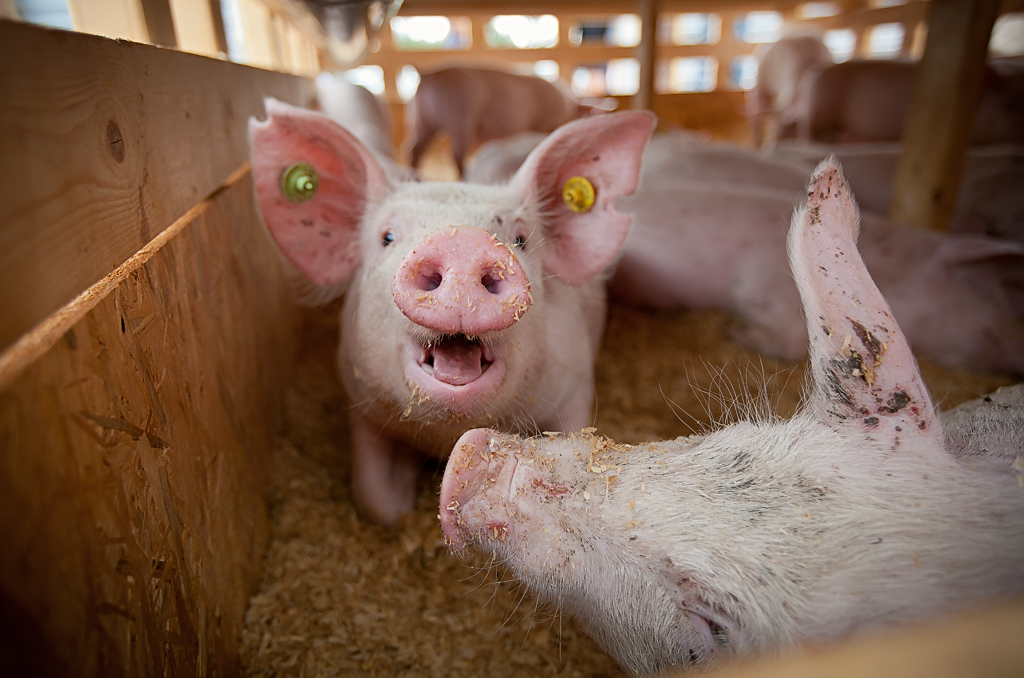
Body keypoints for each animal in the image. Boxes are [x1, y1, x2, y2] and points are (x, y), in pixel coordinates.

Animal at [245, 99, 655, 524]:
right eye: (386, 237)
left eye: (521, 239)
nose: (463, 243)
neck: (448, 434)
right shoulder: (360, 400)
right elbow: (376, 502)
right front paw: (403, 489)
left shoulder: (575, 383)